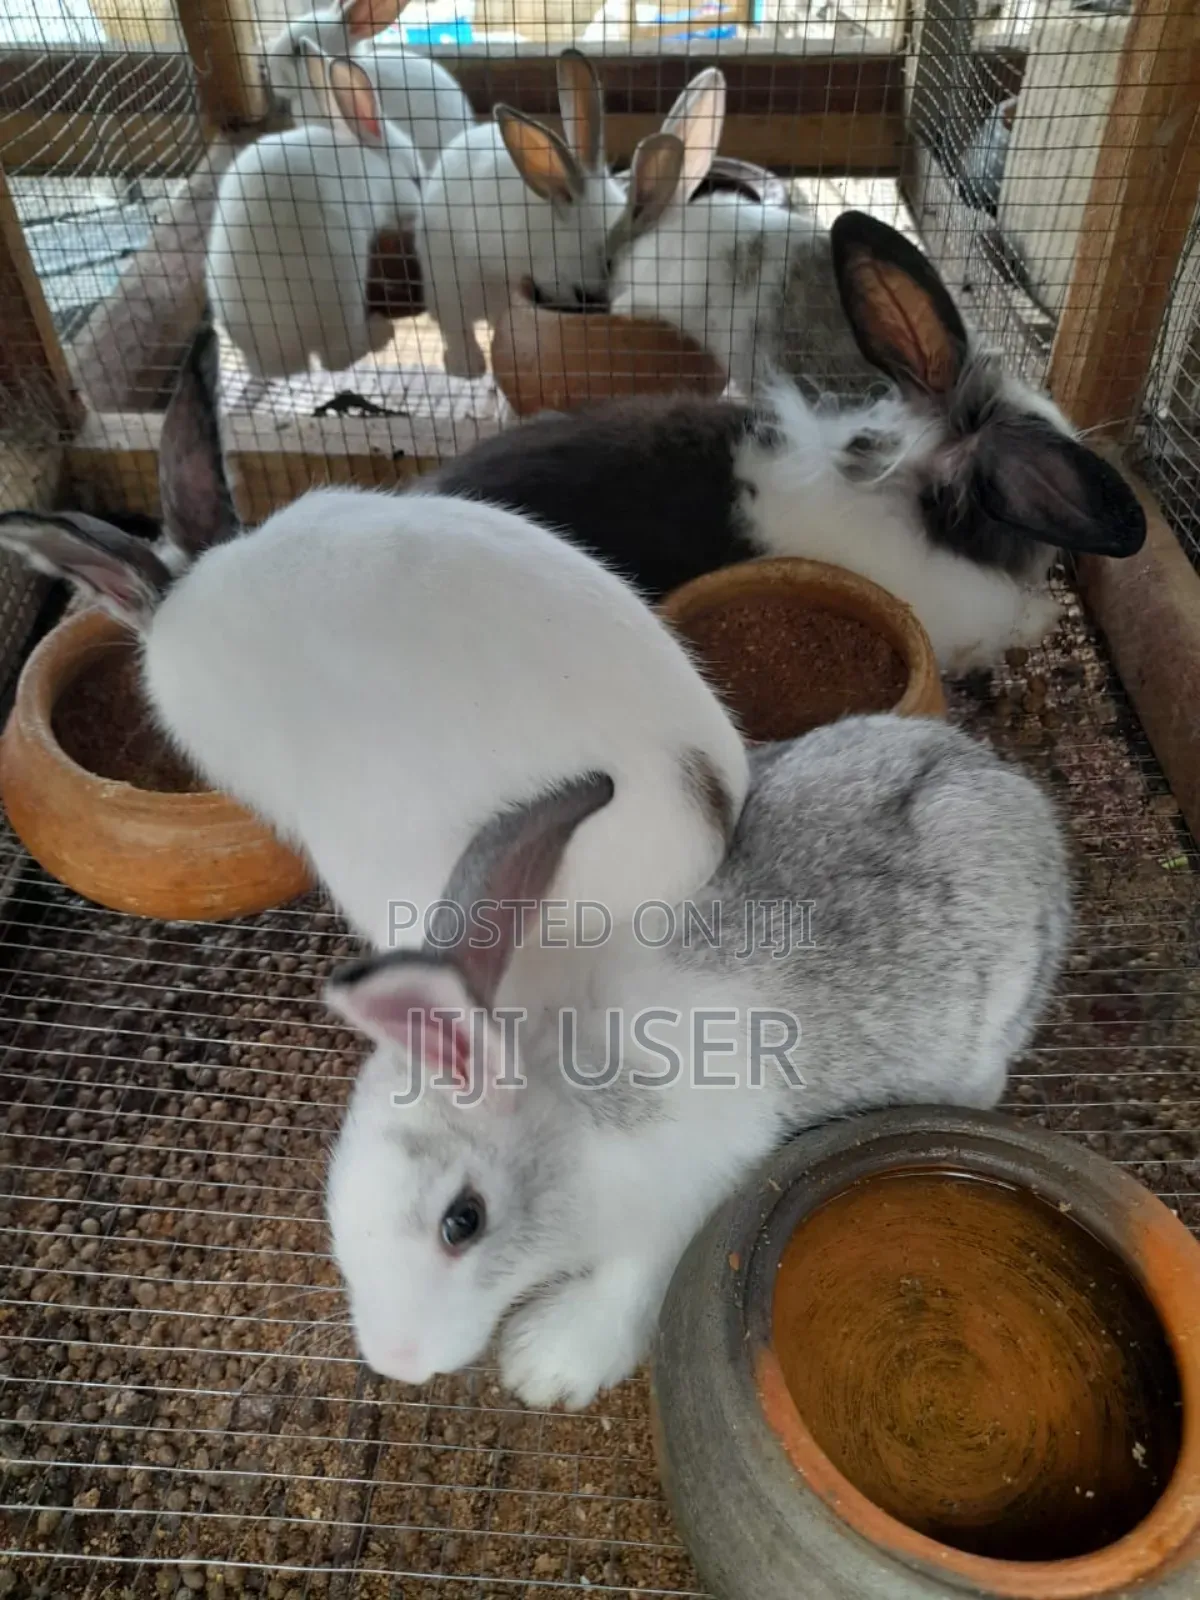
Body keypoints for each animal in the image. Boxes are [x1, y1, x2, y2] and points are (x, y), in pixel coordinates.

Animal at [207, 45, 423, 380]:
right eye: (416, 180)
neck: (375, 165)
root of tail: (276, 354)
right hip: (344, 282)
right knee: (336, 358)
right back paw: (380, 331)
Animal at [323, 709, 1072, 1409]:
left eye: (463, 1221)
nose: (397, 1361)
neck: (566, 1104)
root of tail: (998, 777)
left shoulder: (682, 1202)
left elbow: (629, 1288)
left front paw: (548, 1367)